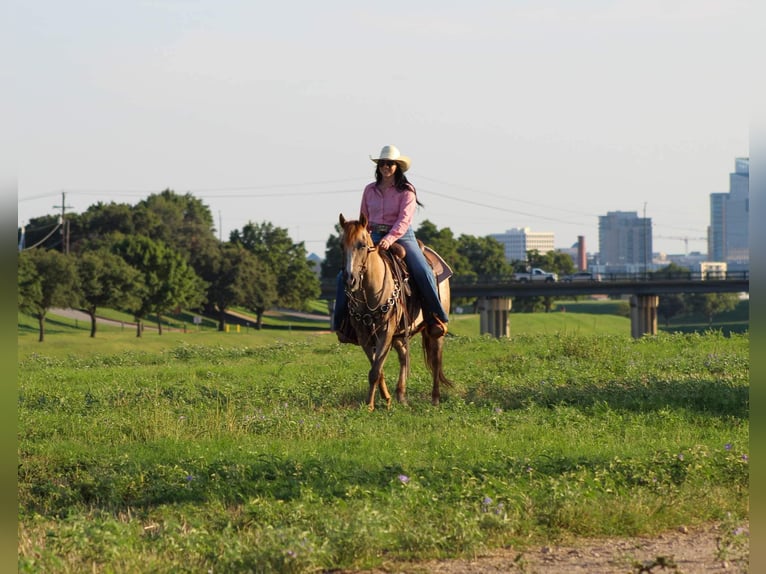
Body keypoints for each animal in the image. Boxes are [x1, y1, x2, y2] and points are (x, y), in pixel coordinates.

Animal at [338, 213, 452, 411]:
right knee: (404, 356)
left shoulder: (386, 332)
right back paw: (400, 395)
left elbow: (375, 370)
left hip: (436, 329)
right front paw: (385, 399)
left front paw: (369, 405)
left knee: (436, 359)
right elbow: (378, 369)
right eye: (341, 245)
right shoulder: (364, 335)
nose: (350, 279)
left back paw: (435, 398)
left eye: (362, 244)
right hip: (399, 334)